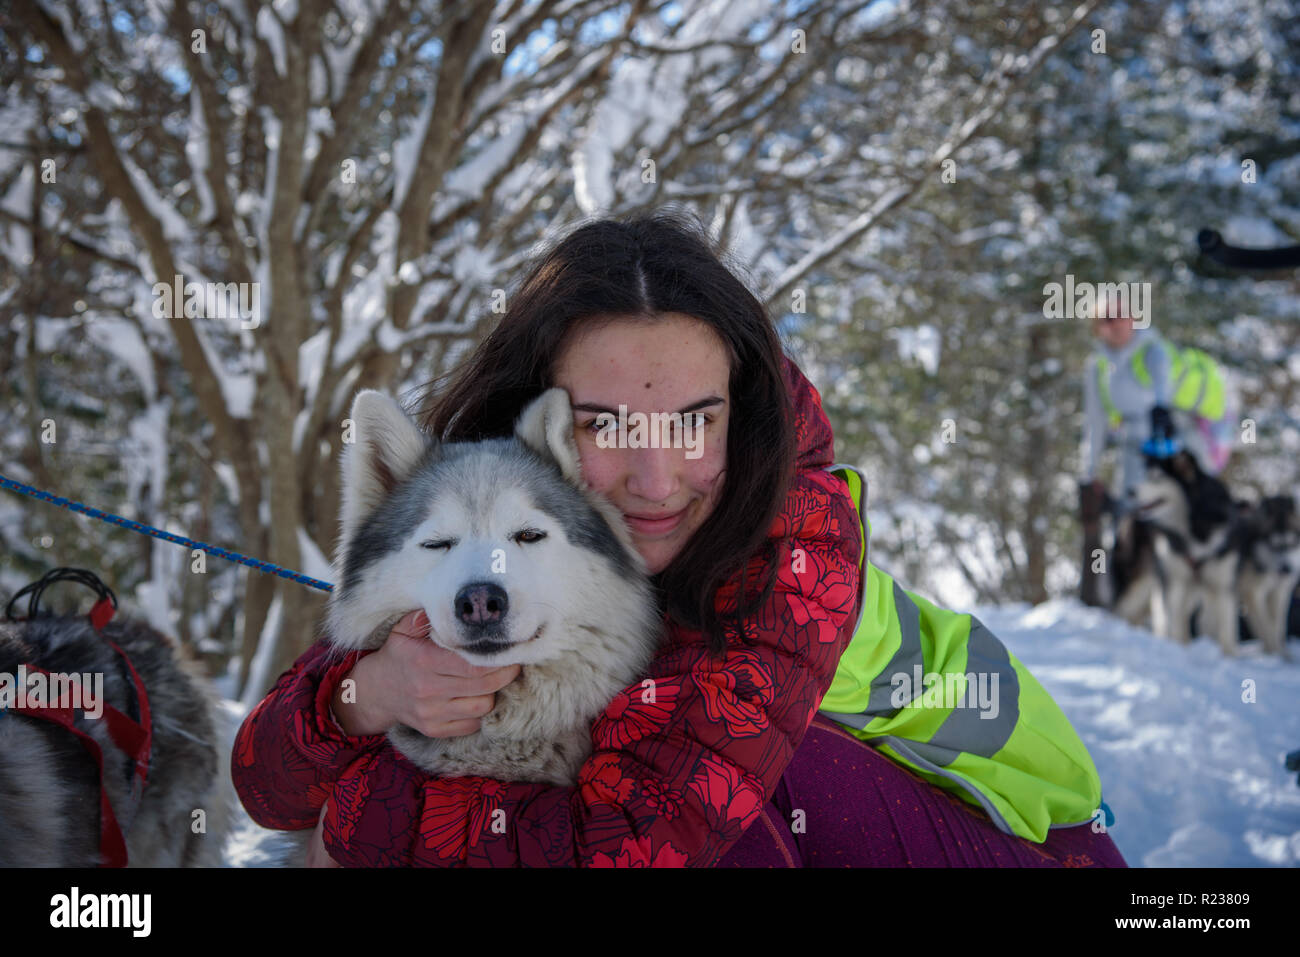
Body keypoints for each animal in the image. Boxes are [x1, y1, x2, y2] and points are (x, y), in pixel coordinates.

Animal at [1232, 494, 1300, 657]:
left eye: (1291, 543)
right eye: (1274, 545)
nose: (1286, 569)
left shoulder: (1279, 593)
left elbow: (1277, 627)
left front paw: (1284, 655)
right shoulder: (1253, 594)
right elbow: (1266, 627)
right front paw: (1274, 655)